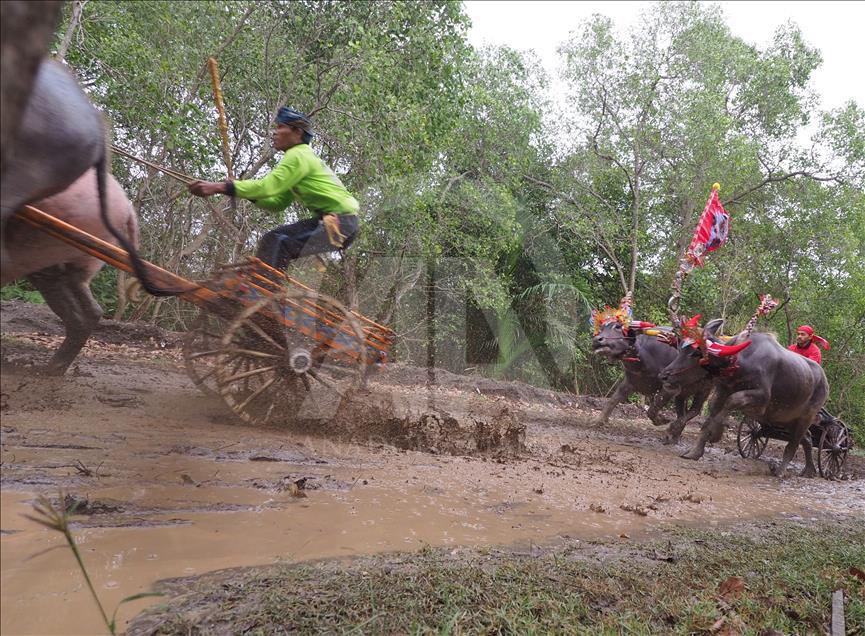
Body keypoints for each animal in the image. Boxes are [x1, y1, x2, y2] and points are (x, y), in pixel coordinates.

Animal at [1, 171, 138, 376]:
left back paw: (40, 369)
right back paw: (49, 369)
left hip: (42, 248)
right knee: (90, 311)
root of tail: (128, 210)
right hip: (69, 265)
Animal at [660, 318, 828, 476]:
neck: (739, 362)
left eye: (695, 353)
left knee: (793, 444)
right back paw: (809, 470)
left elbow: (731, 402)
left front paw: (716, 434)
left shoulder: (761, 399)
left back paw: (780, 471)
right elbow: (710, 417)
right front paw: (694, 452)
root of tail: (825, 382)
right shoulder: (721, 391)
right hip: (786, 419)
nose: (663, 375)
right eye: (680, 348)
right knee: (807, 438)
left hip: (806, 417)